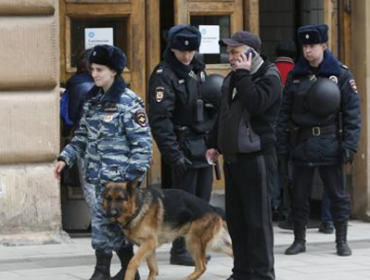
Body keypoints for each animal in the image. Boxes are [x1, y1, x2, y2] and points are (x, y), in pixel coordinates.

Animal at [102, 179, 233, 280]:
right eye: (108, 198)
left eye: (120, 199)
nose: (111, 213)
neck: (138, 207)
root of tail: (213, 208)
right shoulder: (149, 247)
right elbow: (153, 269)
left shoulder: (148, 243)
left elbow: (132, 262)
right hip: (215, 244)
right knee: (232, 251)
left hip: (193, 241)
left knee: (202, 267)